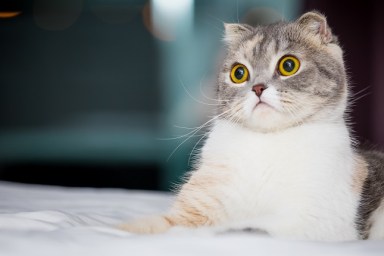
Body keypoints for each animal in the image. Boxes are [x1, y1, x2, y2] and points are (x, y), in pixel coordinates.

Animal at [120, 11, 384, 240]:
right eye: (239, 73)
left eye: (289, 65)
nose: (257, 88)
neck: (265, 144)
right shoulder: (197, 205)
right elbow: (161, 225)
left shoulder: (314, 220)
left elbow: (251, 227)